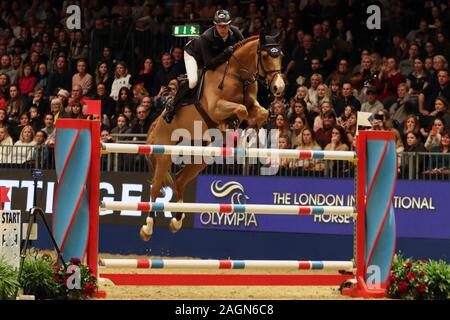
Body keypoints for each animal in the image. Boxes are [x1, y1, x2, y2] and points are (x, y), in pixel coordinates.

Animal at [140, 31, 284, 240]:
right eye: (265, 56)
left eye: (280, 55)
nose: (278, 88)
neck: (238, 75)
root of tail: (154, 125)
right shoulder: (216, 107)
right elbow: (241, 110)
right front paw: (231, 126)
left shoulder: (252, 104)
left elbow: (260, 112)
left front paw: (257, 135)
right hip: (164, 154)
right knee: (156, 187)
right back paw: (148, 227)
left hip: (200, 157)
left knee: (179, 179)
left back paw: (177, 220)